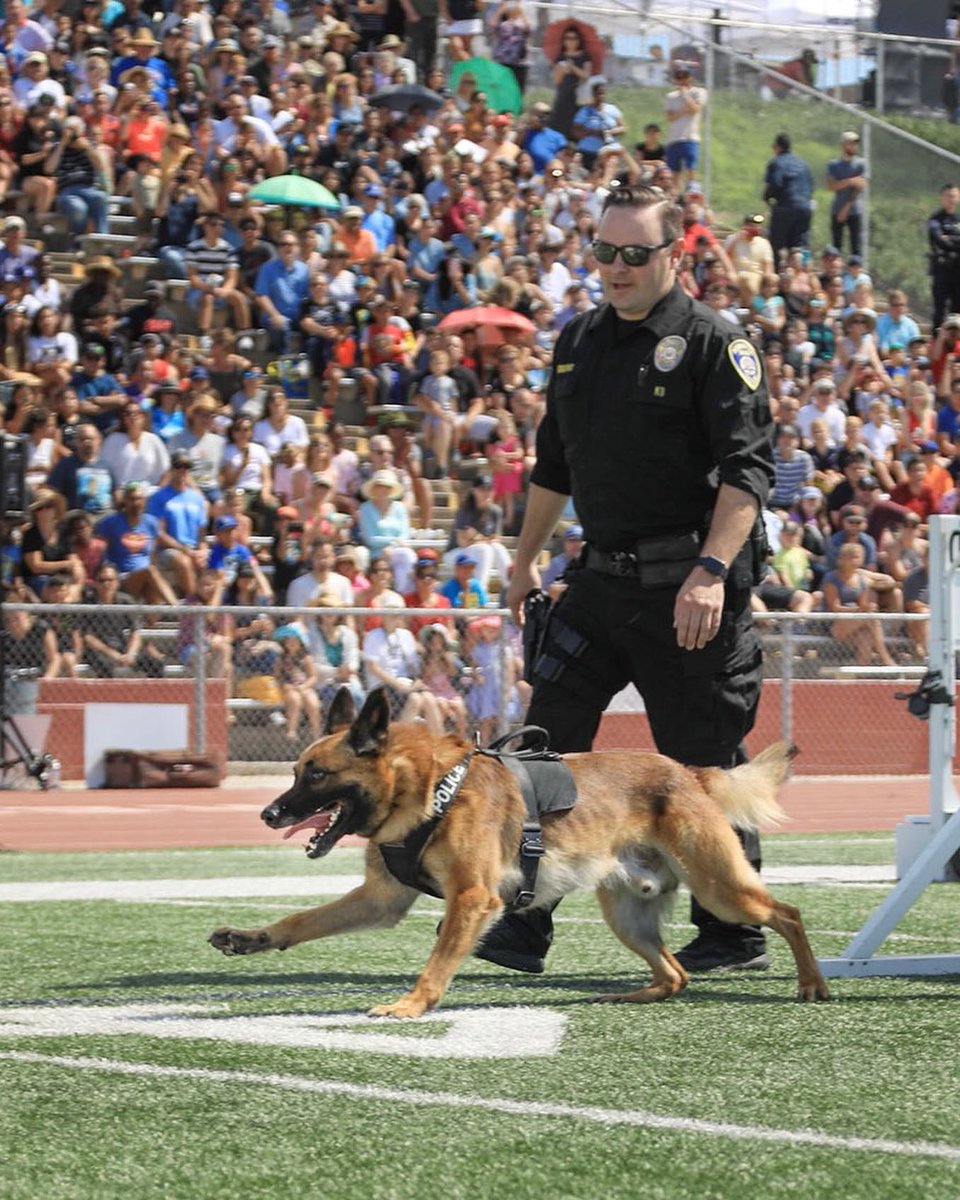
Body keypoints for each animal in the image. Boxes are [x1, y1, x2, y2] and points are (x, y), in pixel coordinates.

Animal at [206, 691, 830, 1017]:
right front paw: (250, 938)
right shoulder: (381, 899)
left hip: (721, 890)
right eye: (296, 771)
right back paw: (632, 992)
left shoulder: (472, 900)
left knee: (788, 915)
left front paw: (411, 1005)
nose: (269, 815)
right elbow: (301, 920)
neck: (430, 790)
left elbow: (437, 963)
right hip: (627, 915)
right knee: (675, 973)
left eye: (316, 775)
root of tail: (689, 772)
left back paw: (812, 984)